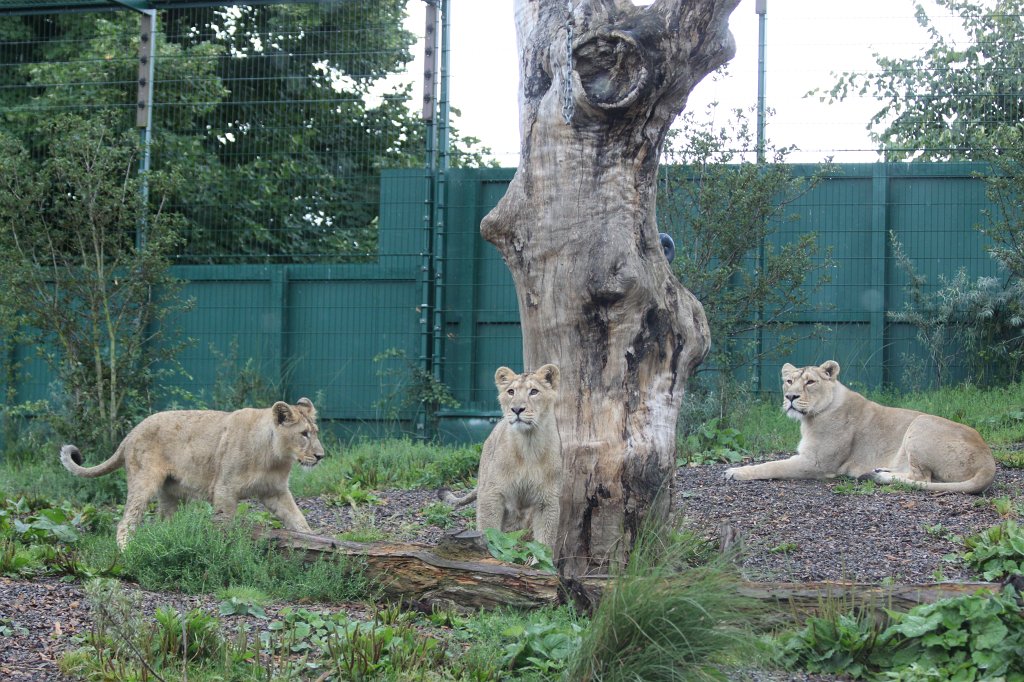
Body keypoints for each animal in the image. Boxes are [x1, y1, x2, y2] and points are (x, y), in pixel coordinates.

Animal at [60, 398, 324, 548]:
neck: (275, 457)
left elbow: (297, 518)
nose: (321, 456)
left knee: (163, 522)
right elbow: (223, 524)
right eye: (303, 434)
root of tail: (132, 431)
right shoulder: (225, 489)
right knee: (126, 521)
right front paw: (221, 551)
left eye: (315, 432)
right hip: (144, 482)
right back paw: (127, 551)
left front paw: (314, 542)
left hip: (171, 493)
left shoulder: (275, 492)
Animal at [441, 364, 562, 550]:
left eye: (534, 391)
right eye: (511, 392)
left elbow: (544, 544)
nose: (517, 409)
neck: (529, 444)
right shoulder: (491, 493)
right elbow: (490, 531)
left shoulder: (547, 501)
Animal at [724, 361, 996, 494]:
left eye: (810, 382)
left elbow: (772, 466)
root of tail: (989, 460)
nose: (790, 397)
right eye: (789, 381)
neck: (810, 418)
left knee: (922, 477)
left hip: (921, 423)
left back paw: (875, 475)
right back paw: (877, 471)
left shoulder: (817, 464)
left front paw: (735, 472)